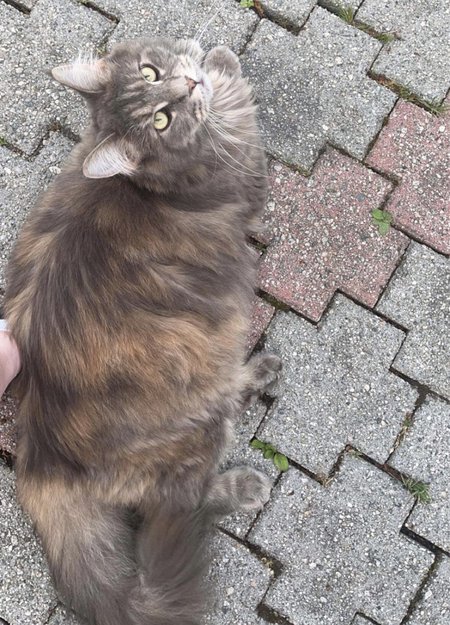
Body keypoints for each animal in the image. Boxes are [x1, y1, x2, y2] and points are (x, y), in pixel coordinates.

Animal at [4, 37, 281, 625]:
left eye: (153, 74)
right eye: (160, 120)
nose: (190, 86)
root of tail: (40, 456)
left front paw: (214, 59)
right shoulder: (250, 172)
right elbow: (240, 95)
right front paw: (224, 62)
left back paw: (262, 370)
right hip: (196, 419)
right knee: (183, 501)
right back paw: (245, 483)